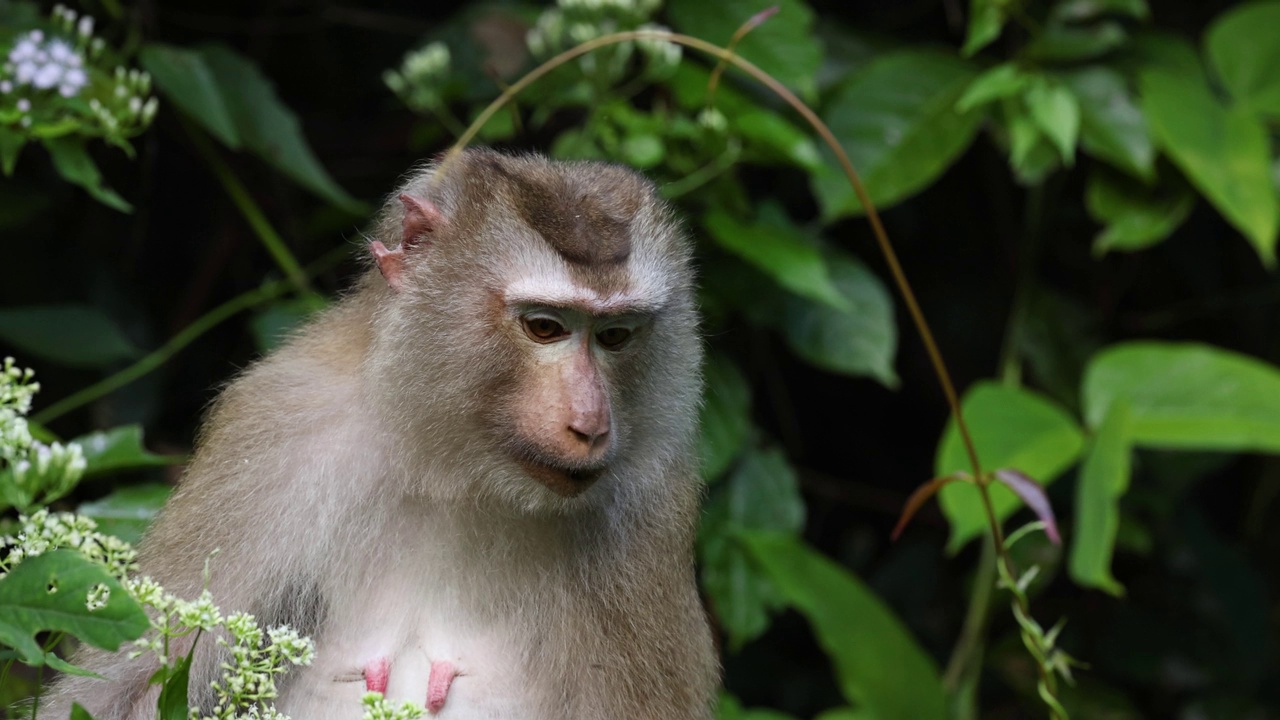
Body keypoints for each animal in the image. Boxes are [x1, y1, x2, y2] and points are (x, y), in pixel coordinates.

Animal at [42, 148, 721, 712]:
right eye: (545, 327)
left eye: (615, 335)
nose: (590, 424)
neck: (455, 469)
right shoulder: (271, 432)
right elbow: (116, 693)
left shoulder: (647, 499)